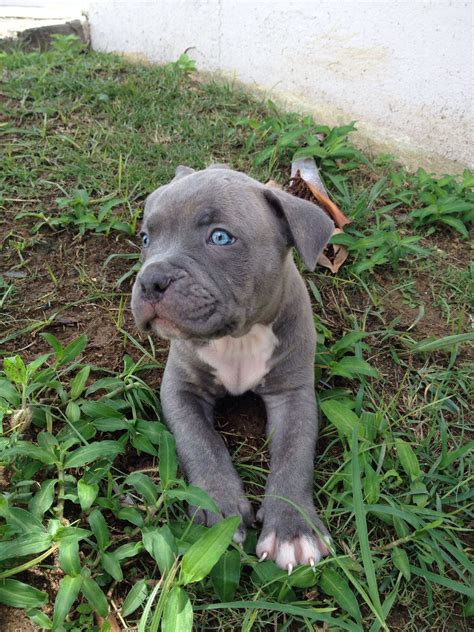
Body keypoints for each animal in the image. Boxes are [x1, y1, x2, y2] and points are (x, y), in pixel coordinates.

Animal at [131, 164, 336, 572]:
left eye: (220, 237)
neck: (237, 337)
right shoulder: (180, 390)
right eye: (145, 238)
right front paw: (218, 508)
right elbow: (200, 443)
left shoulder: (294, 395)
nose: (150, 279)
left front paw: (292, 529)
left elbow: (295, 453)